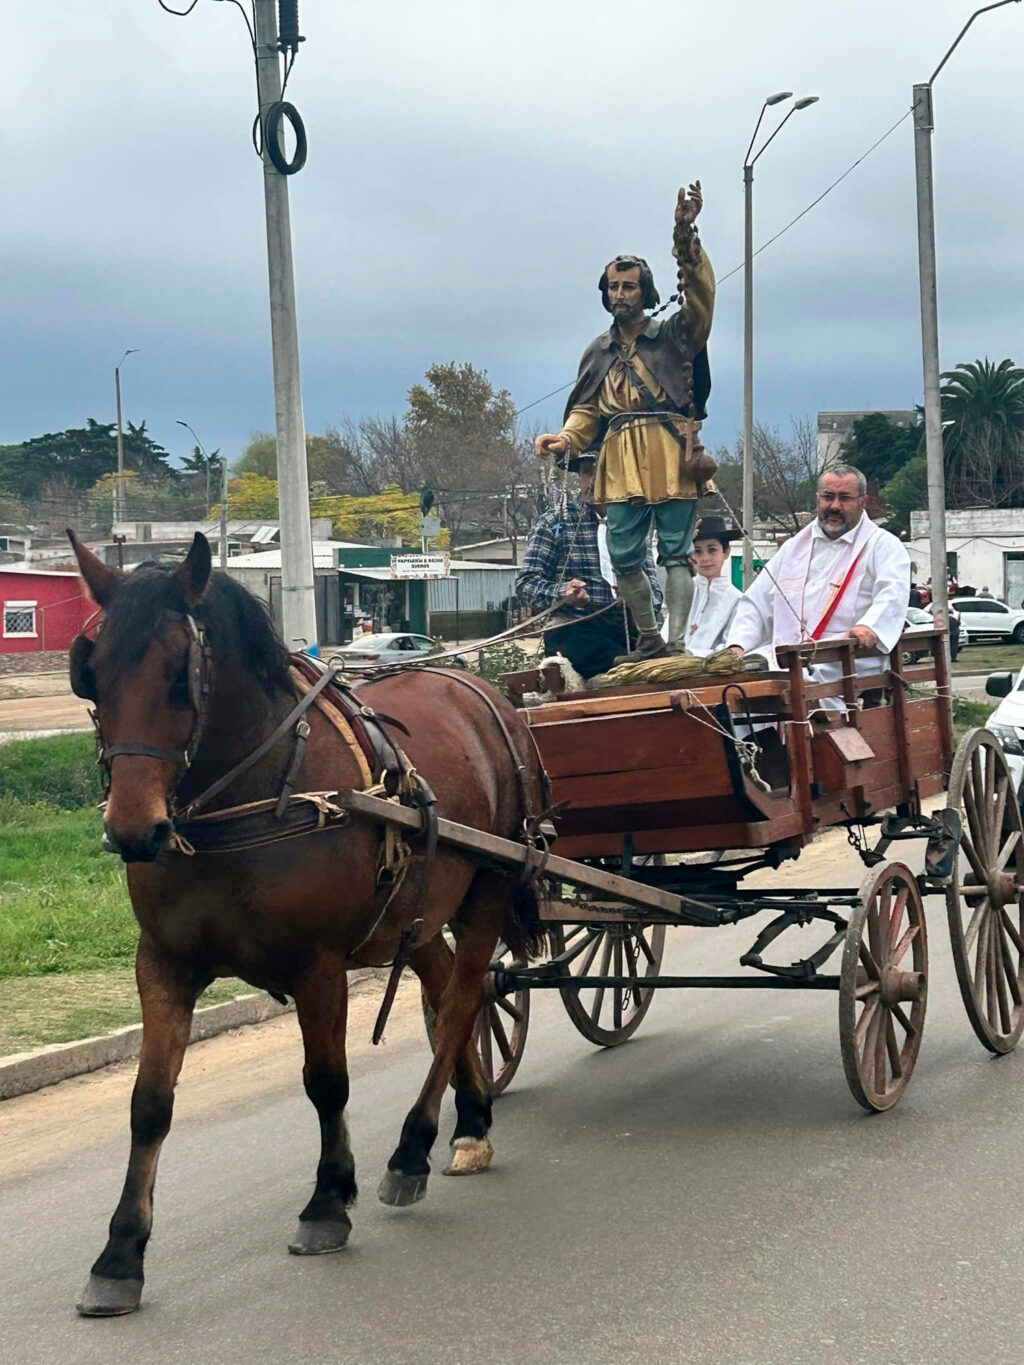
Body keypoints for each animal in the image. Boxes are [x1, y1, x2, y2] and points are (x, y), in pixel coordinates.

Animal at [68, 529, 548, 1310]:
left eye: (178, 674)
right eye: (94, 672)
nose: (134, 829)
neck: (246, 801)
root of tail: (486, 693)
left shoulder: (318, 965)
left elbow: (326, 1081)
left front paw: (327, 1200)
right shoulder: (163, 963)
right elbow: (149, 1103)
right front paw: (120, 1253)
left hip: (487, 888)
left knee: (461, 1003)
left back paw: (414, 1147)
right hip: (417, 910)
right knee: (450, 985)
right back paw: (471, 1117)